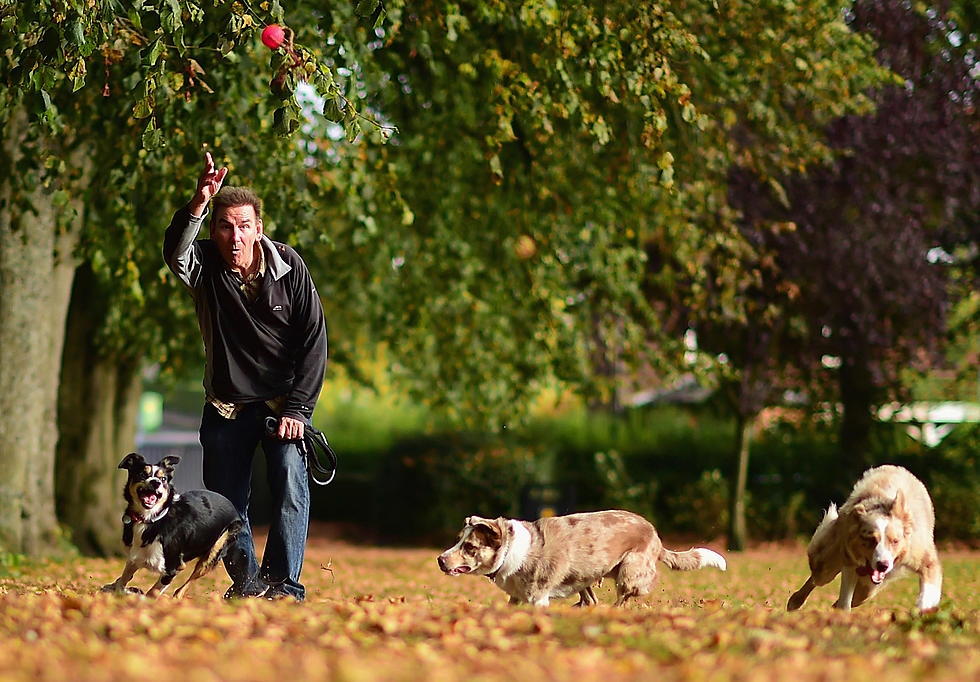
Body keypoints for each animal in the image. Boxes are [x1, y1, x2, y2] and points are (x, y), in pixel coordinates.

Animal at [101, 454, 243, 596]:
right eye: (142, 474)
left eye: (163, 478)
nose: (155, 482)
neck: (151, 519)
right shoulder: (134, 558)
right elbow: (121, 583)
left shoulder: (173, 567)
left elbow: (152, 592)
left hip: (213, 553)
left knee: (184, 587)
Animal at [436, 510, 728, 604]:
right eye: (458, 539)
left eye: (470, 547)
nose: (440, 559)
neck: (512, 550)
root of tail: (656, 536)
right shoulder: (517, 598)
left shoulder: (537, 597)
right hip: (587, 576)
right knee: (592, 599)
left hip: (629, 572)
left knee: (625, 598)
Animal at [788, 462, 940, 612]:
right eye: (871, 540)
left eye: (895, 541)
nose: (883, 565)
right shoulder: (849, 560)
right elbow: (845, 602)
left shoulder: (923, 557)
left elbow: (929, 588)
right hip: (827, 566)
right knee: (816, 578)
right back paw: (795, 602)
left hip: (867, 591)